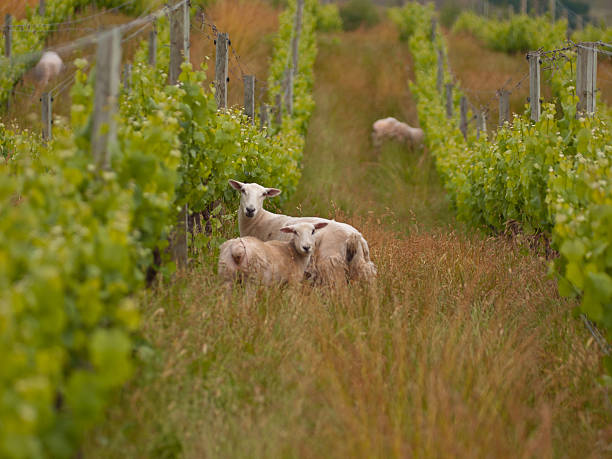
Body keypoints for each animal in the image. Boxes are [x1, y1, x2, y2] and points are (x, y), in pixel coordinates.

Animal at [227, 179, 376, 284]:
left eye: (264, 194)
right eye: (243, 190)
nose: (250, 209)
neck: (259, 221)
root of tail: (354, 236)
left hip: (332, 266)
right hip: (361, 266)